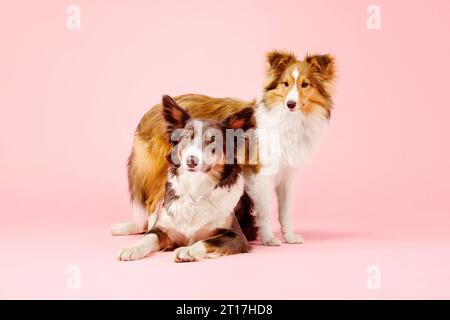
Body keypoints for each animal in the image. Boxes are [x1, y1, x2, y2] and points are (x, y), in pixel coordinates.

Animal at [116, 95, 256, 262]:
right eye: (186, 137)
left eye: (213, 140)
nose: (191, 160)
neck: (196, 187)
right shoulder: (164, 230)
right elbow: (149, 237)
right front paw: (132, 248)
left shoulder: (237, 237)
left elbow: (205, 241)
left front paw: (187, 251)